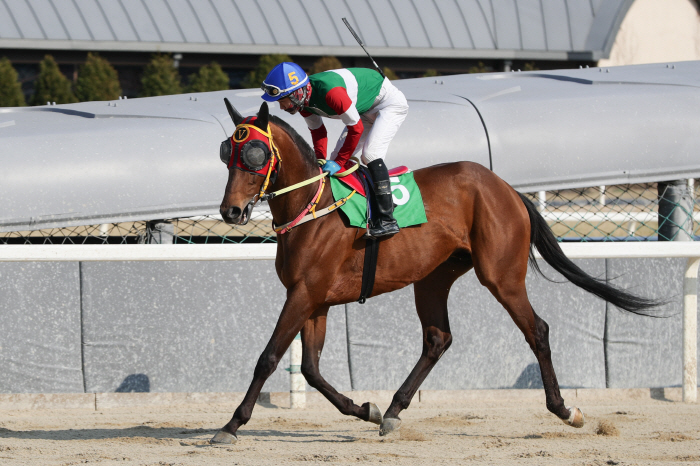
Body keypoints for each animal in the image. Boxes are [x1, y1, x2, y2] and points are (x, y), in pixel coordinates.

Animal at [212, 101, 656, 444]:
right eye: (225, 152)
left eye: (254, 154)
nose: (230, 211)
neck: (312, 207)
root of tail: (507, 189)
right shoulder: (314, 299)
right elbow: (311, 369)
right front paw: (367, 409)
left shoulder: (304, 293)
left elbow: (268, 358)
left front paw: (231, 424)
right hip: (433, 278)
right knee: (438, 338)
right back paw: (393, 410)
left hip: (501, 276)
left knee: (537, 330)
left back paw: (565, 410)